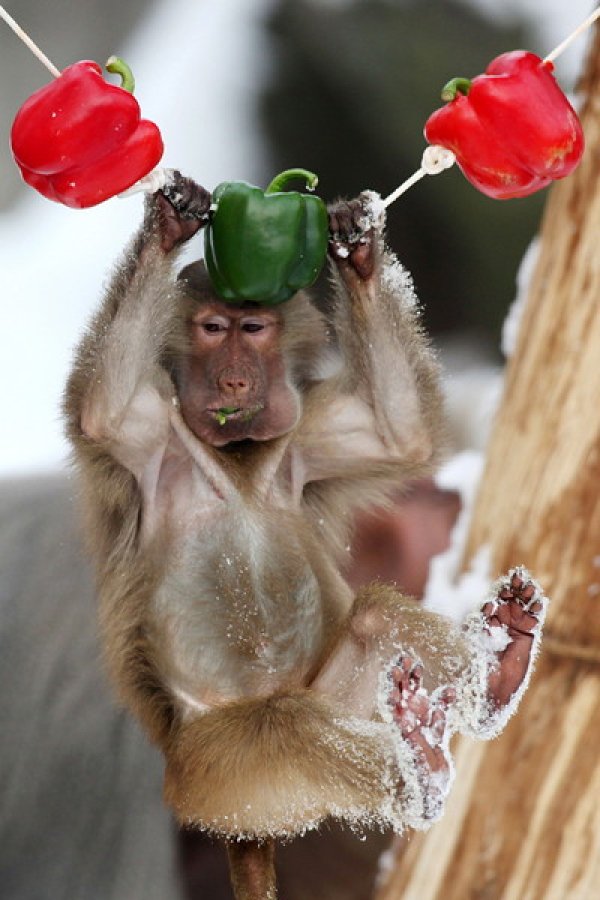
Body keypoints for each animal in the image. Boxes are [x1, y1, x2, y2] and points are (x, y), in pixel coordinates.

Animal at [63, 172, 548, 896]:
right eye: (213, 329)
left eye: (254, 328)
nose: (235, 379)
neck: (236, 458)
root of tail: (248, 833)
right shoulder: (139, 435)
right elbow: (104, 411)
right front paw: (171, 219)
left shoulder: (305, 442)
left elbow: (398, 437)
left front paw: (358, 244)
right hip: (225, 776)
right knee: (285, 729)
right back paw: (420, 779)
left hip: (328, 719)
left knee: (375, 617)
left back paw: (494, 679)